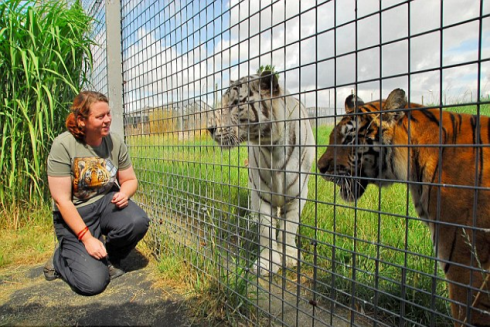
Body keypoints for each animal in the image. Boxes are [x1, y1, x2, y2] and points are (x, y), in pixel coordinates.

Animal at [206, 72, 314, 276]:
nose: (209, 128)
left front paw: (289, 257)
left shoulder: (297, 194)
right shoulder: (263, 193)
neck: (273, 148)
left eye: (236, 103)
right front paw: (266, 264)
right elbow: (266, 231)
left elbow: (289, 228)